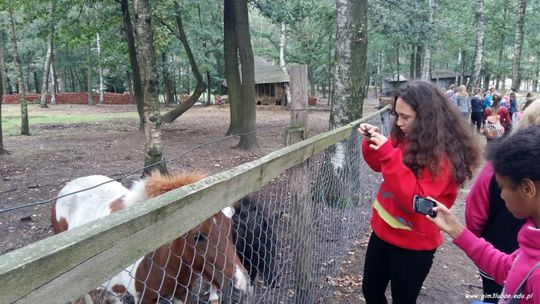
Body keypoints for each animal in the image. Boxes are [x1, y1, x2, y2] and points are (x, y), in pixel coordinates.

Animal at [51, 172, 252, 302]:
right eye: (197, 236)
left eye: (230, 228)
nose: (241, 285)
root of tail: (66, 188)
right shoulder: (145, 298)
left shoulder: (182, 293)